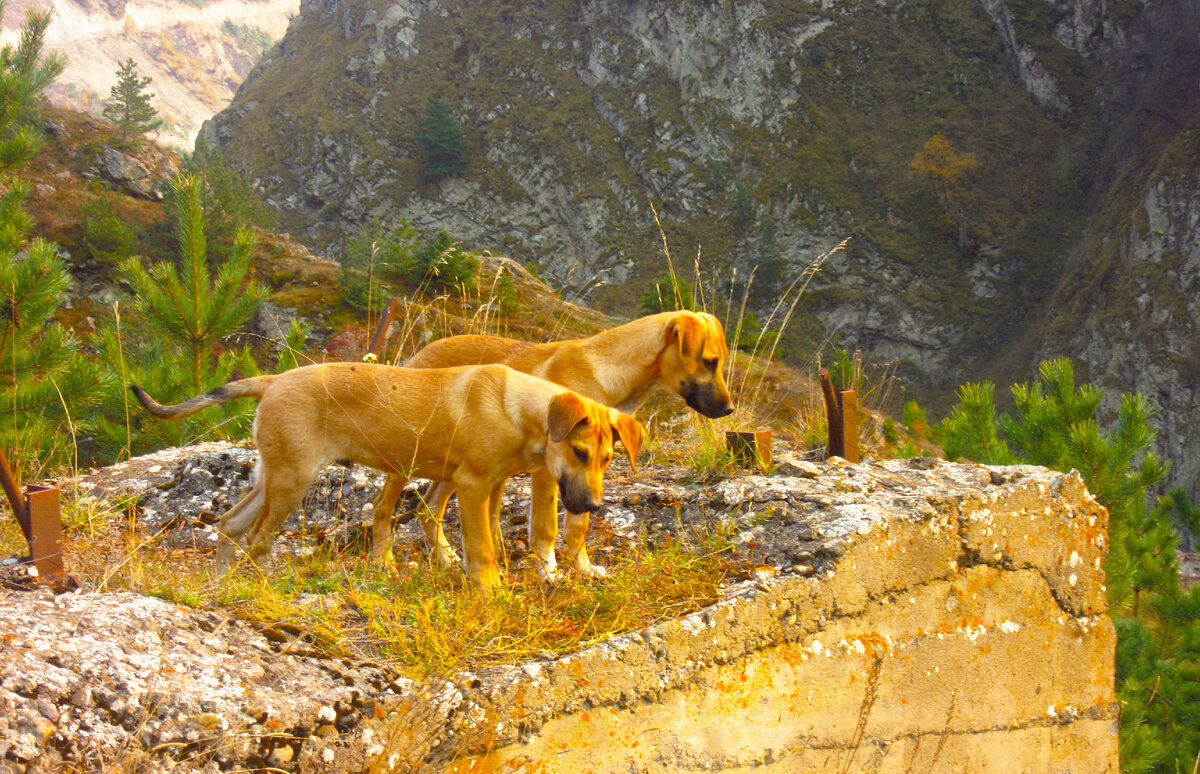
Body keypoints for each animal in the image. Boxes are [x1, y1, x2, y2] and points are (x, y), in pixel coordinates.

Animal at [129, 362, 648, 585]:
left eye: (608, 459)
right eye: (579, 452)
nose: (593, 507)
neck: (520, 408)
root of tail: (273, 380)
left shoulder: (491, 485)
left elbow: (491, 540)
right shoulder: (473, 485)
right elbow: (481, 550)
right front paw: (490, 592)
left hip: (272, 476)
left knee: (229, 524)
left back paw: (222, 586)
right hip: (292, 480)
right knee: (257, 539)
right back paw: (265, 583)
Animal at [381, 312, 739, 576]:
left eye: (720, 362)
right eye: (709, 361)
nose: (729, 409)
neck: (609, 375)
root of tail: (424, 350)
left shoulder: (587, 473)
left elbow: (578, 527)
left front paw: (584, 570)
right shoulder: (550, 470)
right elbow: (546, 527)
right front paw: (550, 575)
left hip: (454, 463)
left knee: (429, 509)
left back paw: (448, 561)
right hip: (407, 457)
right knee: (386, 507)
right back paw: (386, 564)